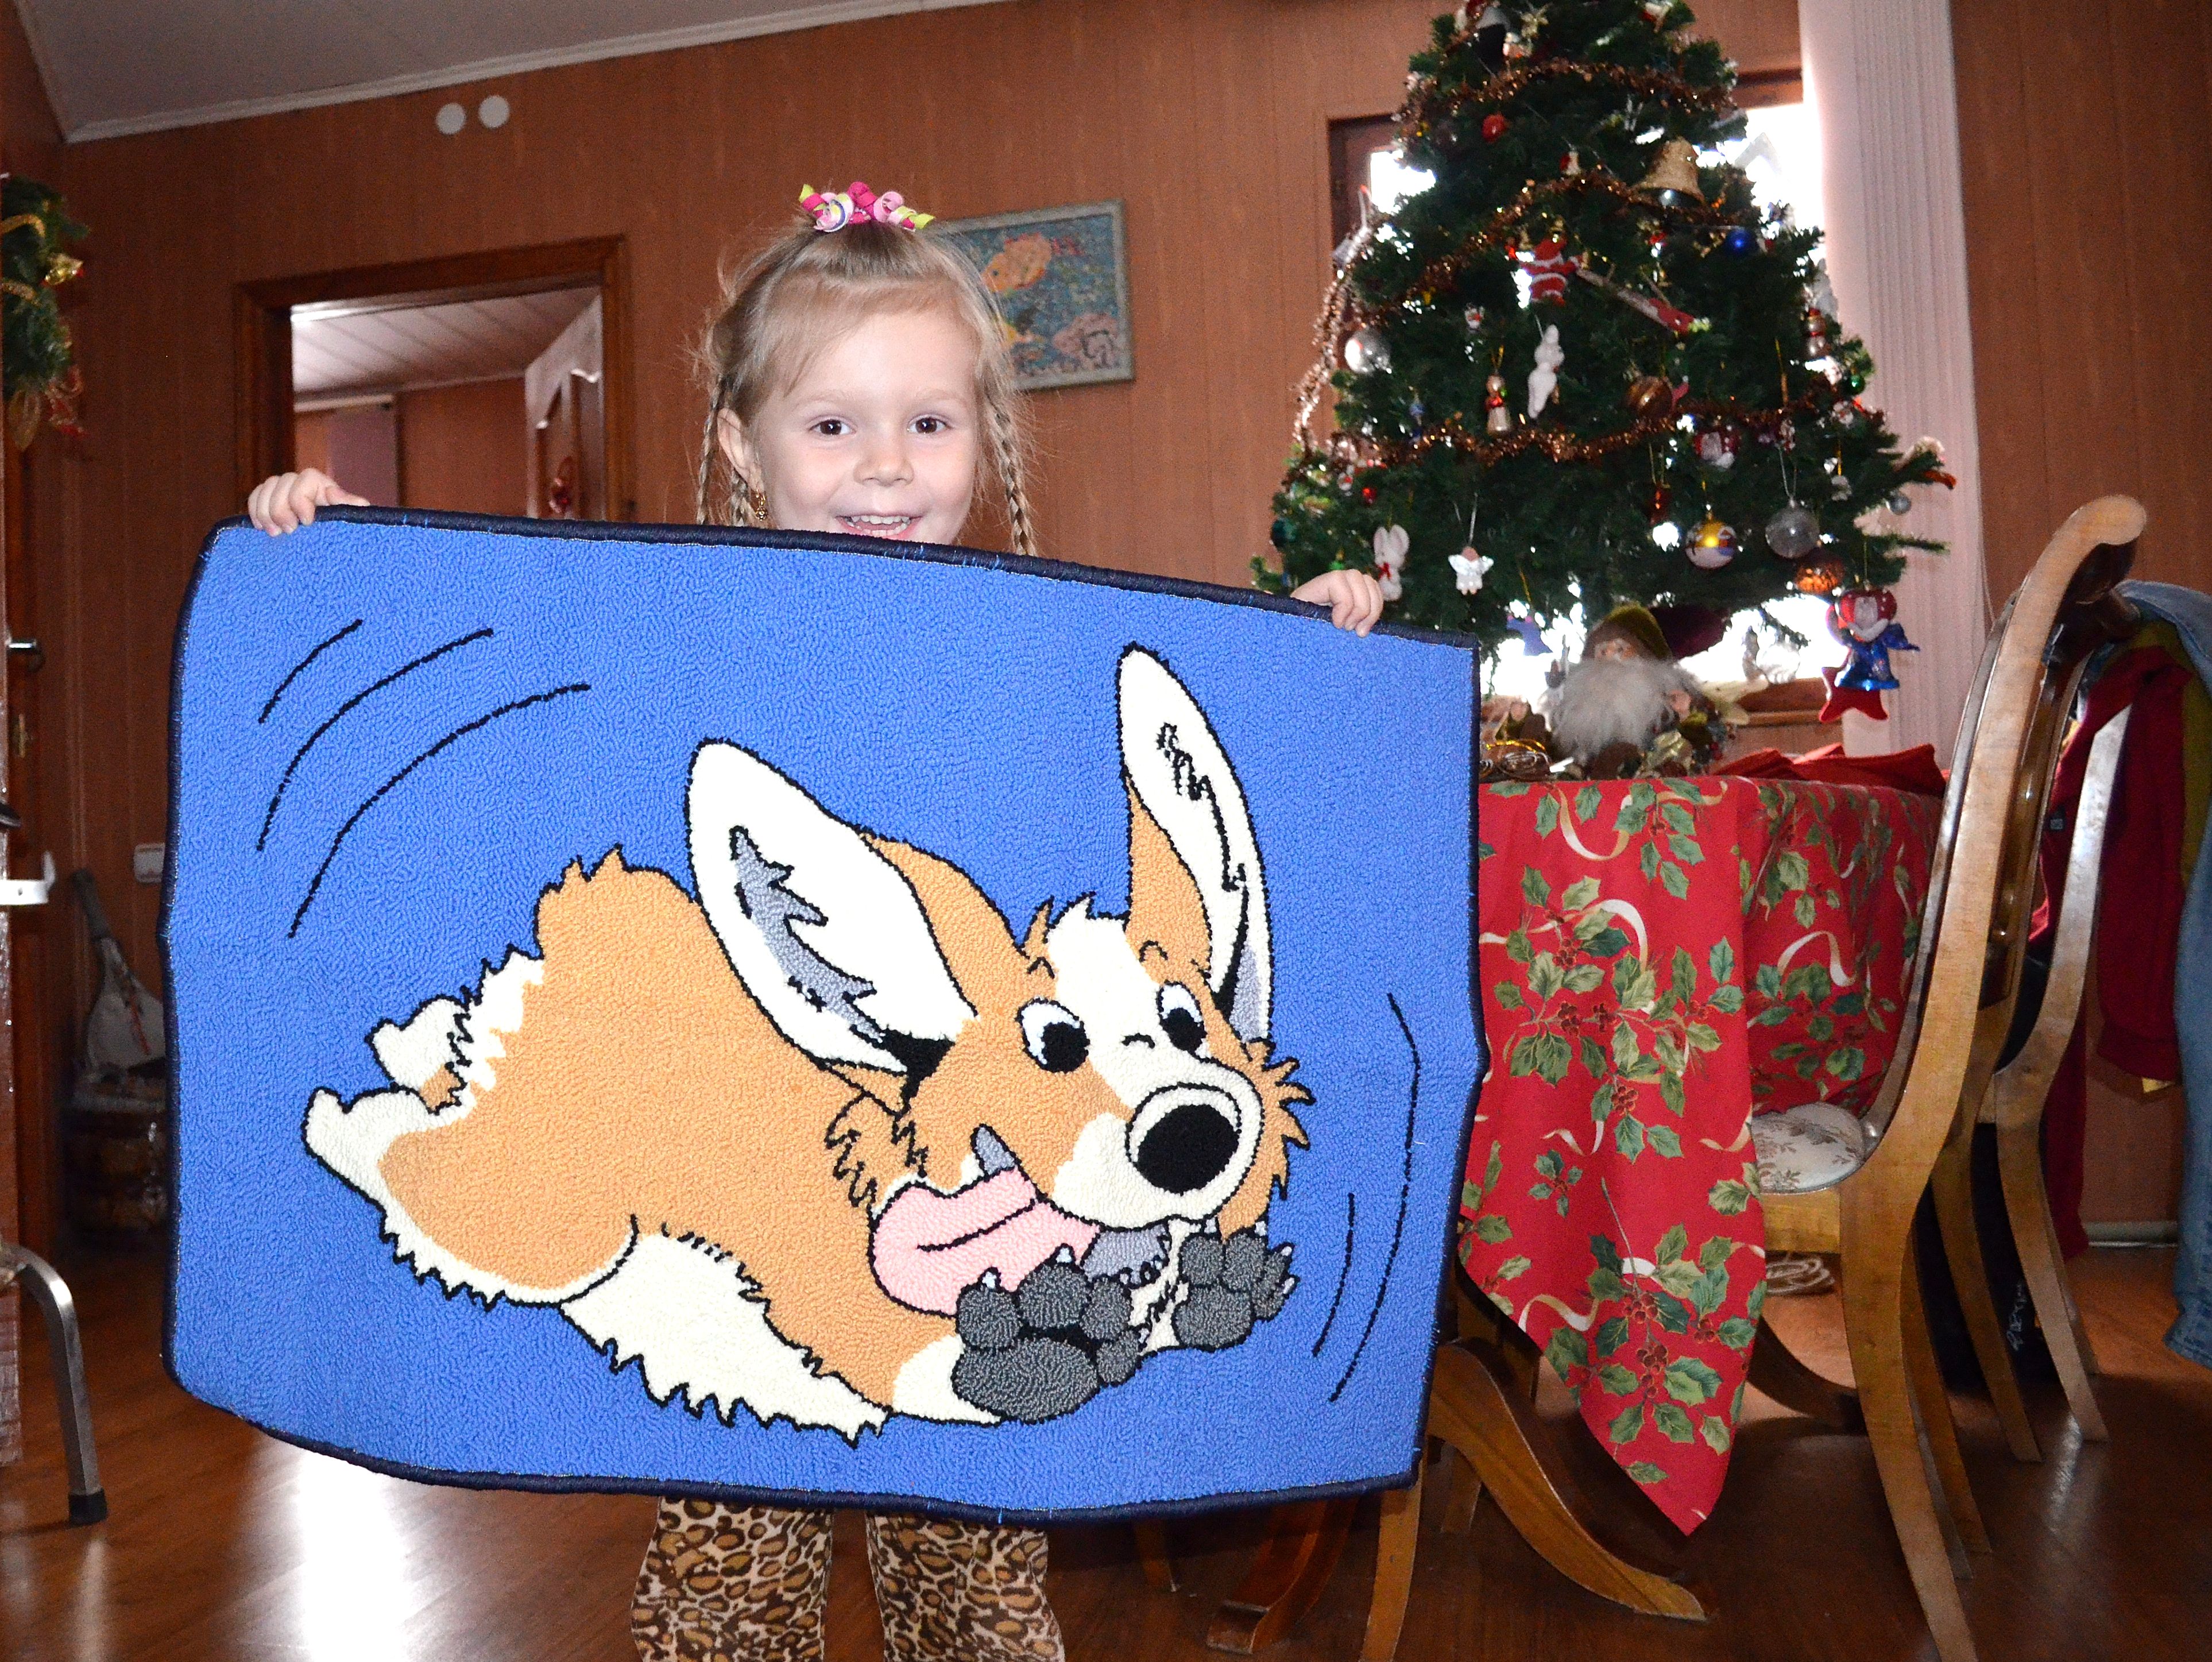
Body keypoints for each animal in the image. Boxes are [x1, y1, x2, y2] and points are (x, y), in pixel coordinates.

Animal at [304, 647, 1308, 1438]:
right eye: (1055, 1044)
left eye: (1187, 1023)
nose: (1192, 1131)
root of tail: (581, 923)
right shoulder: (859, 1323)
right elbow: (953, 1372)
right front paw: (1037, 1356)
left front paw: (1223, 1291)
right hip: (552, 1217)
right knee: (416, 1171)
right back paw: (345, 1114)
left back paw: (418, 1040)